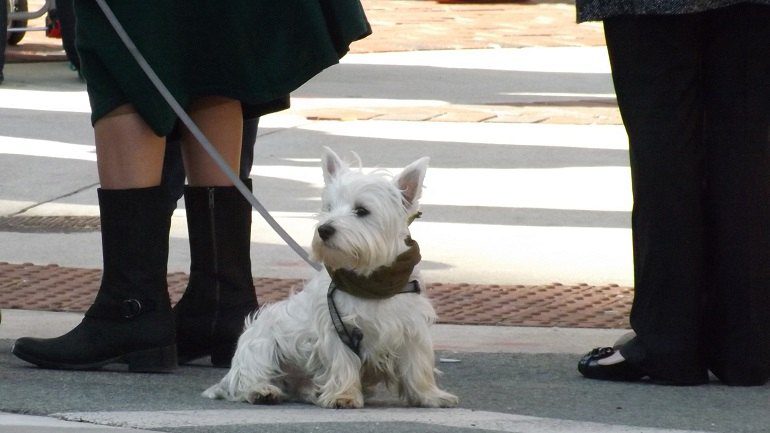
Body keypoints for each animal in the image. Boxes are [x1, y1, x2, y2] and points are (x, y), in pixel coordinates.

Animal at [201, 147, 460, 406]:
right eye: (329, 207)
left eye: (361, 211)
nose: (324, 230)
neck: (372, 281)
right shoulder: (336, 326)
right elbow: (342, 362)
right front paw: (343, 395)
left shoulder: (411, 327)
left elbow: (417, 365)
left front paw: (430, 395)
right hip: (261, 340)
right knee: (248, 376)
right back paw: (262, 391)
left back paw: (310, 391)